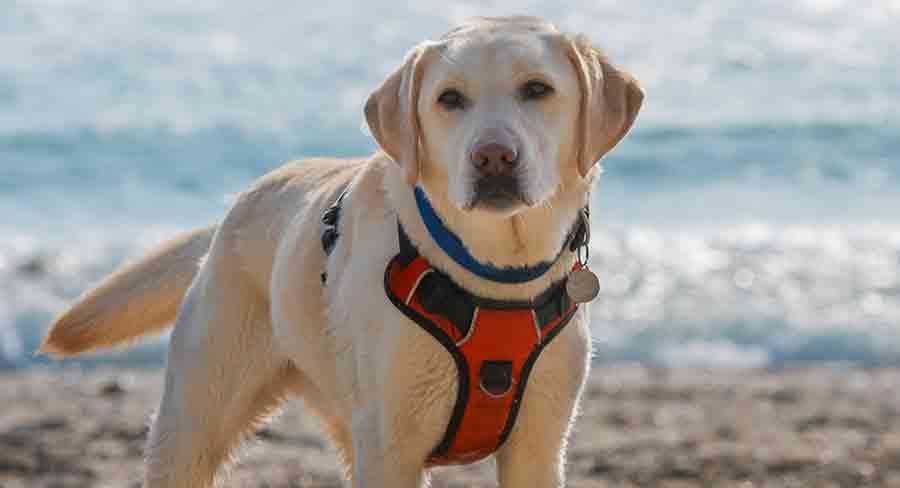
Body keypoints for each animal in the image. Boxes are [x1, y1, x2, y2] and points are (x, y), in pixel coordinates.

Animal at [40, 16, 640, 488]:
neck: (496, 271)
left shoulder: (537, 445)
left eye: (537, 89)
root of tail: (234, 208)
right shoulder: (393, 448)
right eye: (449, 99)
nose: (493, 156)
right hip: (193, 427)